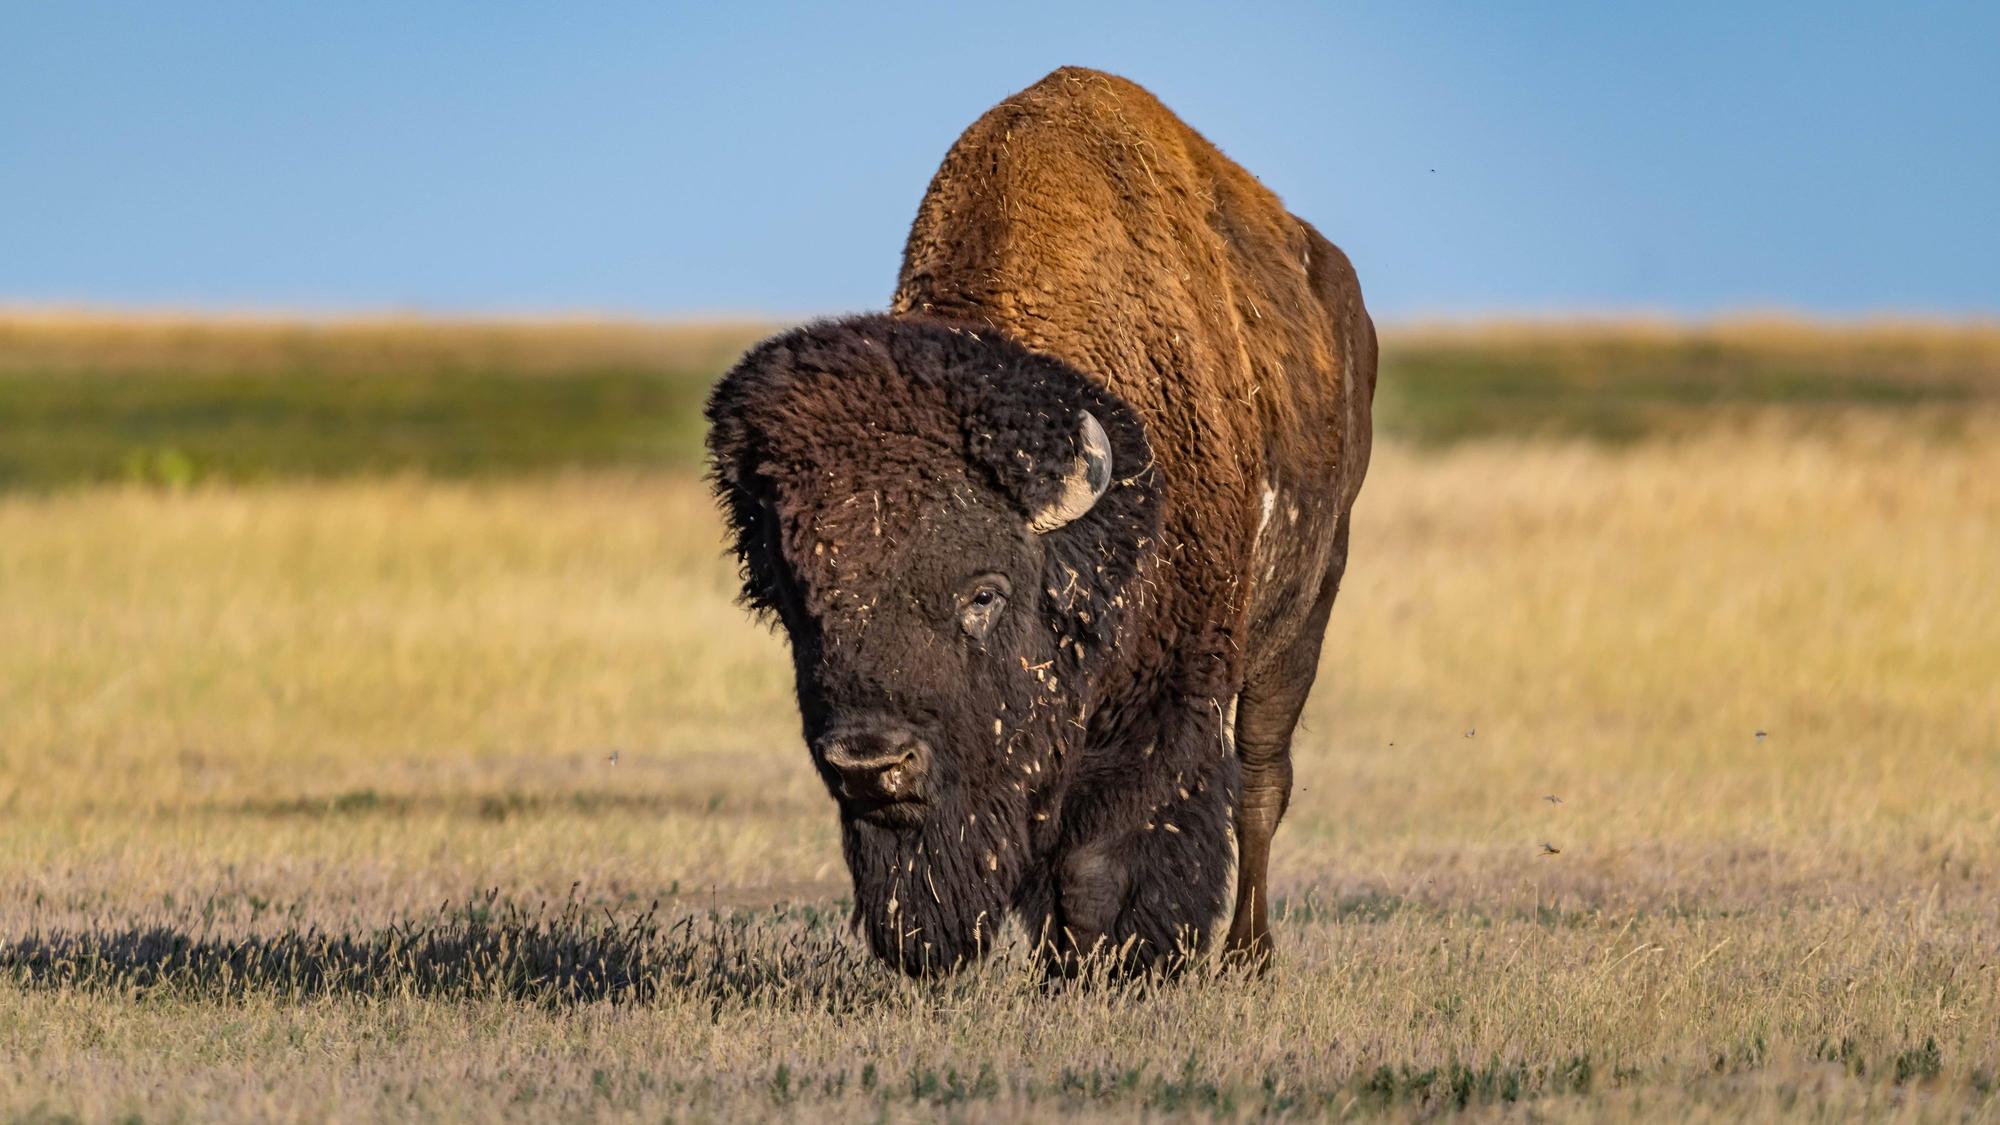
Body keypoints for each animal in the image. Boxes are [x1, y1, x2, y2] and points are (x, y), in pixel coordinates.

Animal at [706, 67, 1375, 974]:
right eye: (798, 602)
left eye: (983, 594)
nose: (872, 761)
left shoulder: (1164, 700)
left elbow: (1102, 855)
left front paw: (1105, 965)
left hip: (1303, 613)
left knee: (1263, 781)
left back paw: (1247, 954)